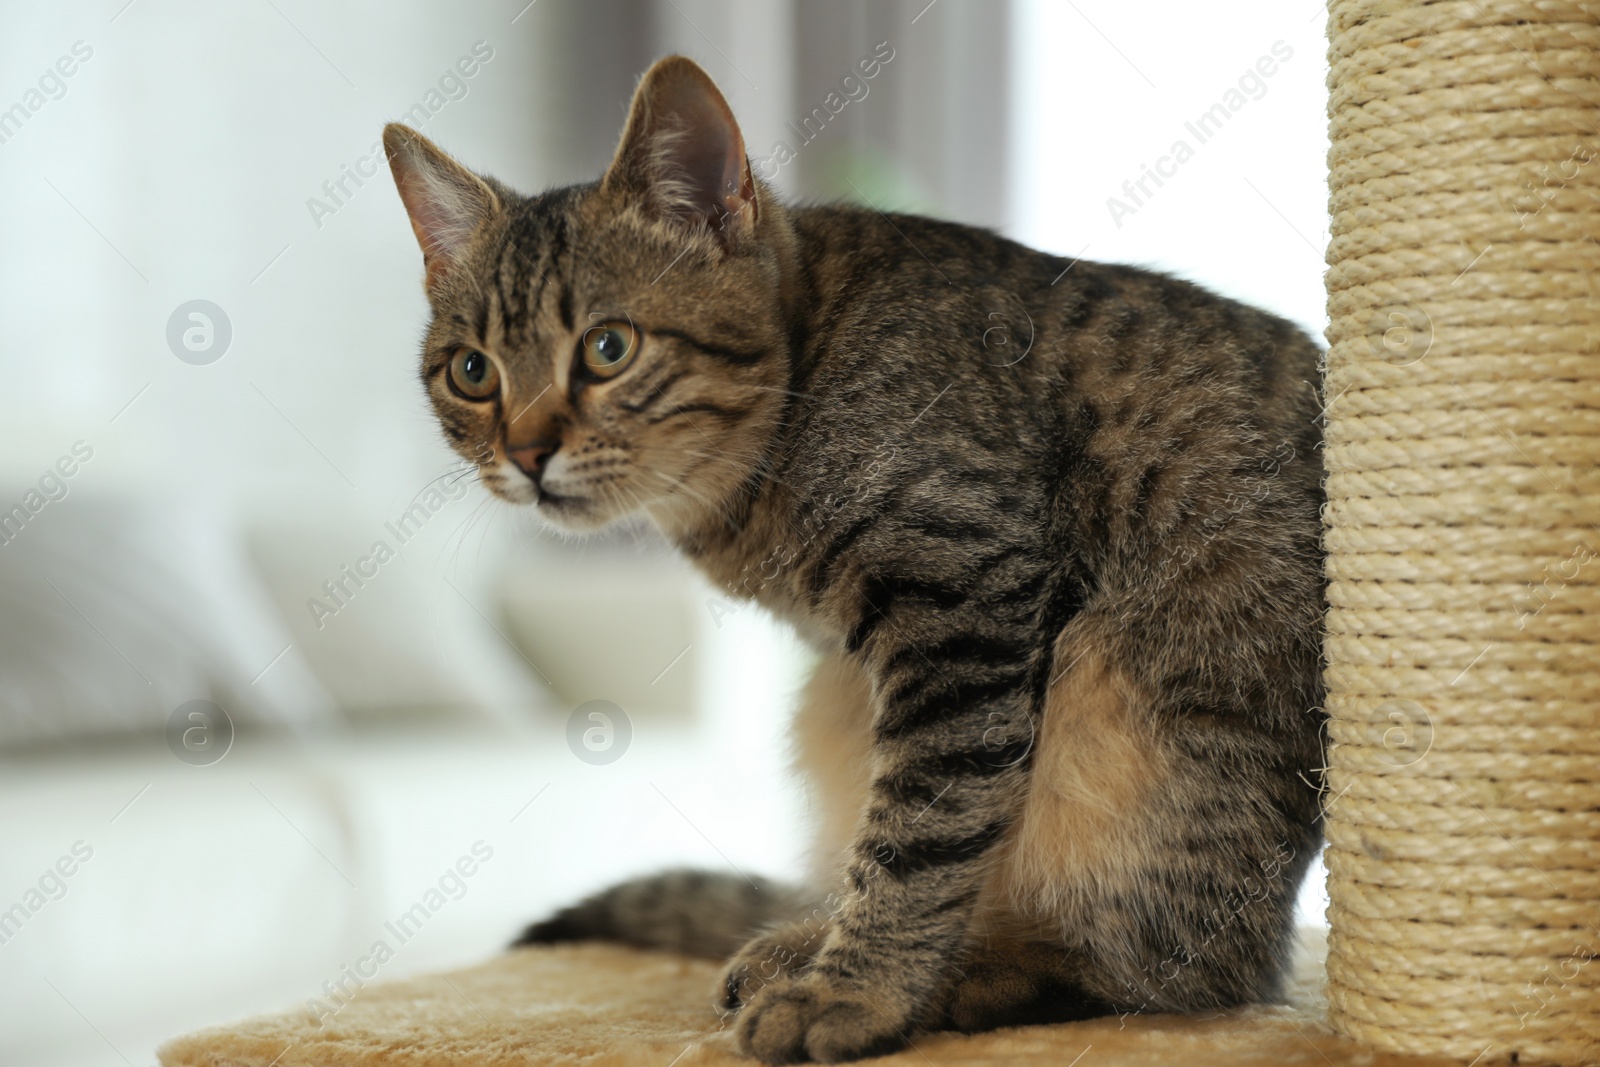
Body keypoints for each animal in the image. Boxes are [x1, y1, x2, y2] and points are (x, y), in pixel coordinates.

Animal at [387, 56, 1324, 1062]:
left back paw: (968, 971)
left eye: (608, 348)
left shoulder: (963, 604)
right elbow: (914, 833)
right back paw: (803, 938)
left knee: (1184, 968)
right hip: (838, 696)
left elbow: (923, 834)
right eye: (472, 372)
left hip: (1121, 703)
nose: (525, 452)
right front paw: (839, 957)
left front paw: (858, 989)